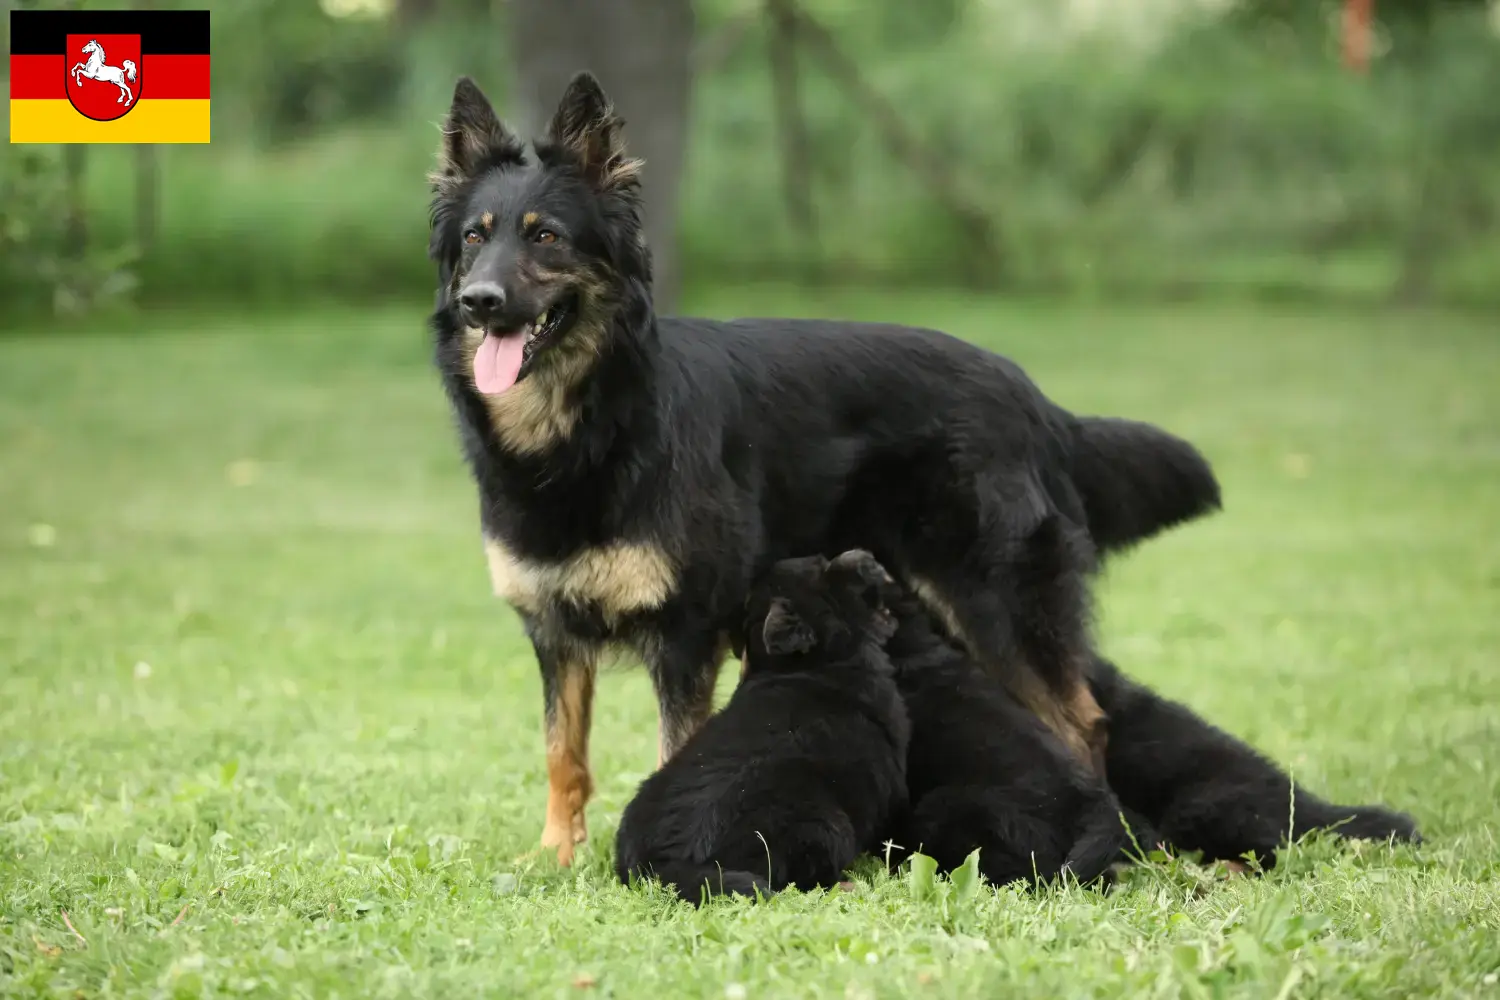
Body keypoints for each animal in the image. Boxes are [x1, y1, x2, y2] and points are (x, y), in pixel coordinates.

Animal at [426, 74, 1218, 863]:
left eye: (546, 236)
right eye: (475, 238)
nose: (478, 302)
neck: (592, 425)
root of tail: (1034, 398)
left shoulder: (685, 639)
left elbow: (673, 747)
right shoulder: (553, 636)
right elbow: (563, 751)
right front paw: (555, 856)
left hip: (998, 605)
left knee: (1084, 723)